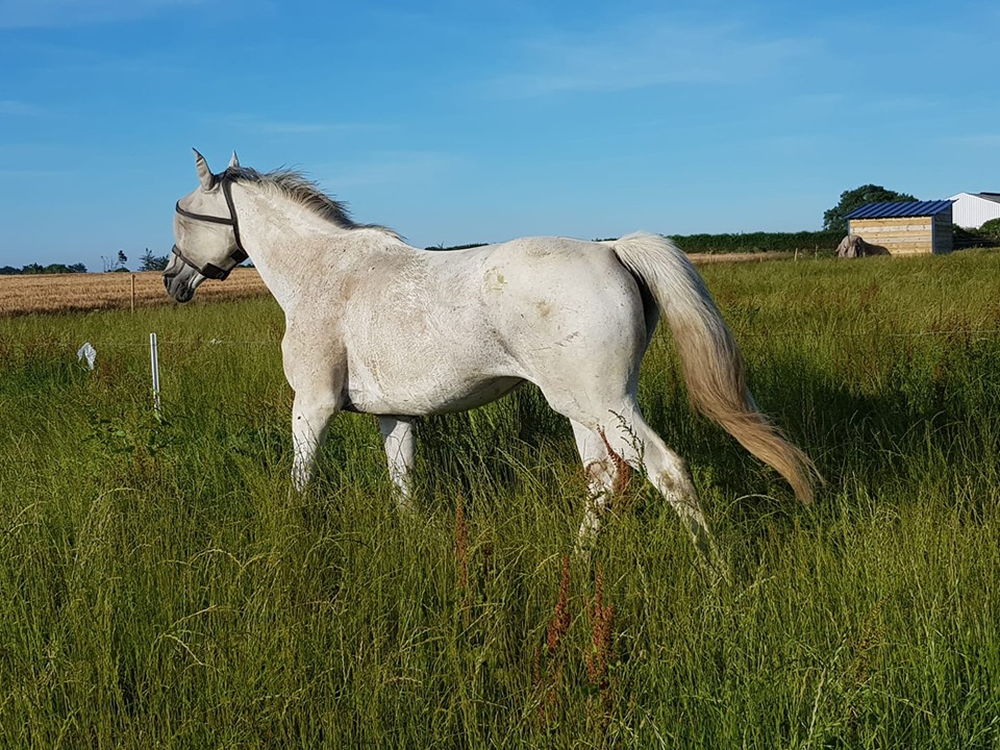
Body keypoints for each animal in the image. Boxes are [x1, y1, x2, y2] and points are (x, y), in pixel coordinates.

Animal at [168, 151, 816, 552]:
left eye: (181, 215)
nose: (173, 280)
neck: (323, 273)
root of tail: (612, 249)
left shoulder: (313, 404)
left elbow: (301, 477)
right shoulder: (395, 415)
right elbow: (402, 485)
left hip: (604, 404)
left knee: (666, 470)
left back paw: (715, 573)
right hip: (583, 410)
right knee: (605, 477)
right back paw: (579, 562)